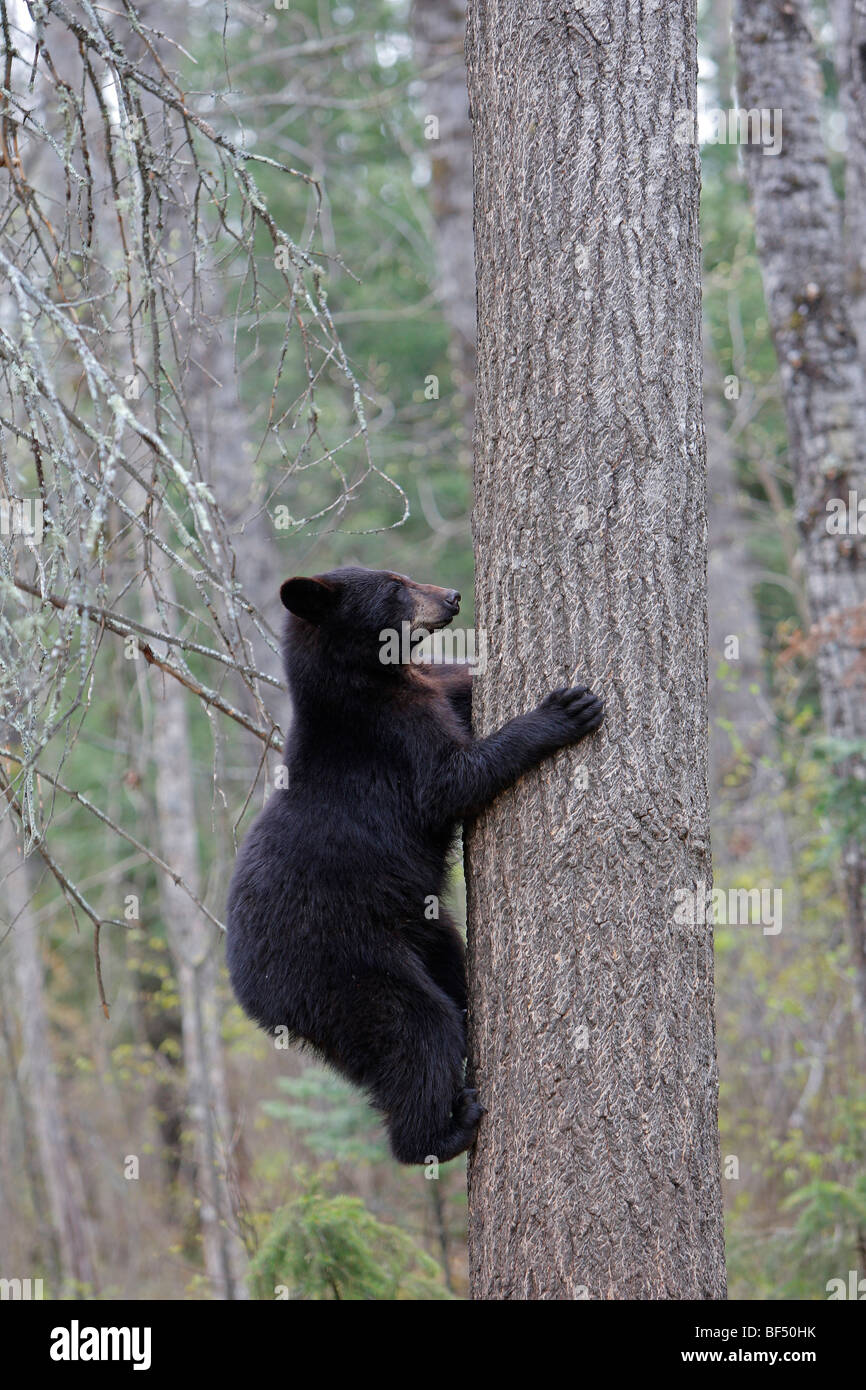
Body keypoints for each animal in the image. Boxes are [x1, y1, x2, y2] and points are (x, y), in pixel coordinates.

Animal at [226, 564, 606, 1162]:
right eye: (394, 588)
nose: (451, 596)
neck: (363, 685)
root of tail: (249, 990)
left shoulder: (425, 688)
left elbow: (456, 686)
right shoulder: (393, 736)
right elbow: (454, 779)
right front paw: (563, 711)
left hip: (420, 935)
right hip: (340, 967)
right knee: (418, 1029)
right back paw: (443, 1132)